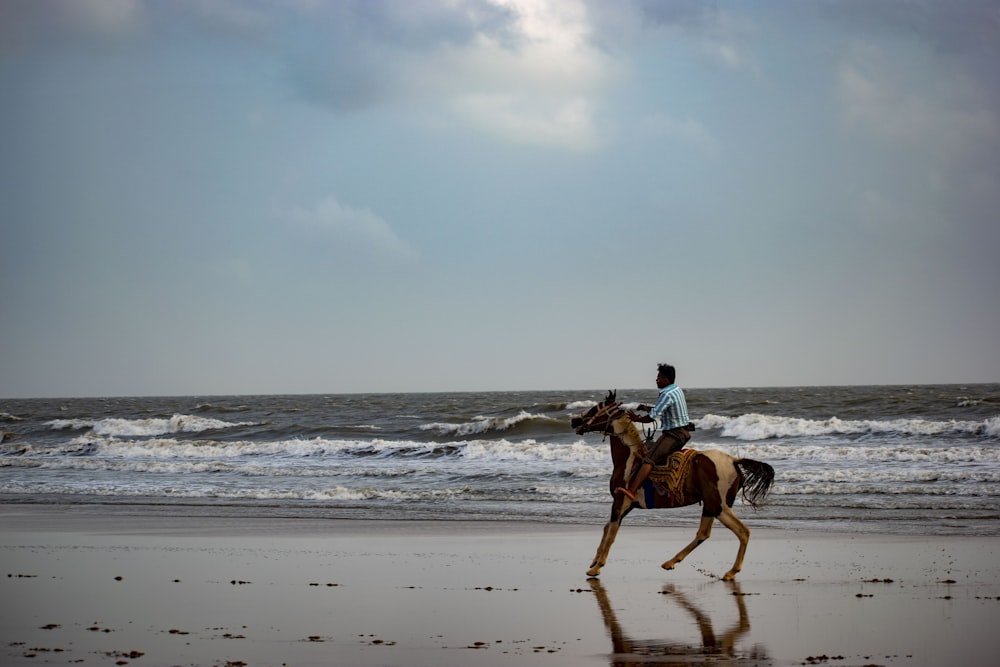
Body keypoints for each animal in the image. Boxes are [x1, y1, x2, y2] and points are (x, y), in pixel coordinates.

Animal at [572, 388, 772, 580]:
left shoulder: (621, 501)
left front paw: (596, 567)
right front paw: (595, 560)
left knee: (742, 531)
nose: (574, 420)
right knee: (704, 533)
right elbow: (607, 528)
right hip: (711, 506)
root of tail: (734, 460)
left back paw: (731, 572)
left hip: (718, 506)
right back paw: (672, 562)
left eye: (595, 408)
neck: (629, 461)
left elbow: (611, 533)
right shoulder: (627, 505)